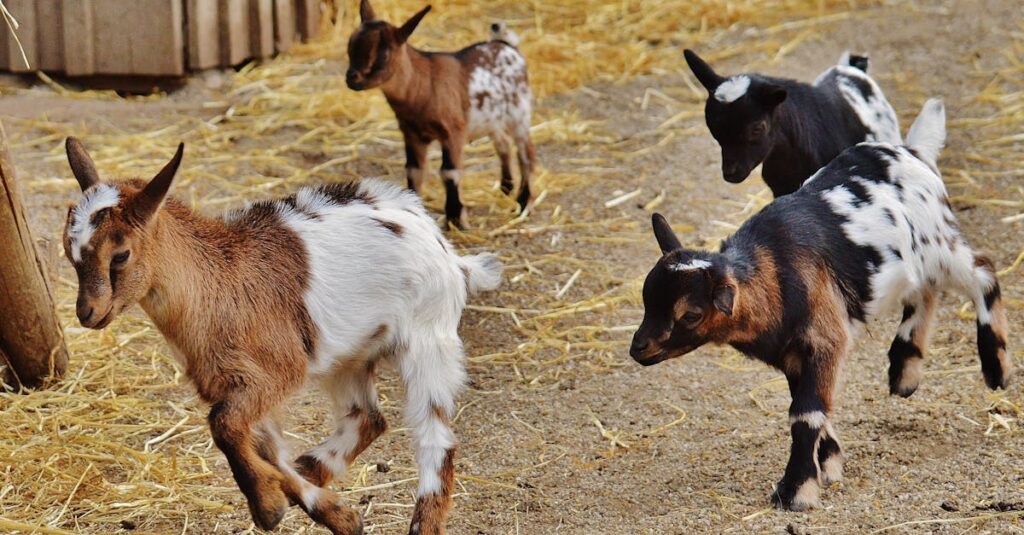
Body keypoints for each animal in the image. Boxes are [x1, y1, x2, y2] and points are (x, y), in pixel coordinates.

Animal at [62, 137, 503, 535]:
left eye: (120, 255)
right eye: (69, 254)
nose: (87, 313)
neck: (218, 281)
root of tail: (449, 252)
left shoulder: (276, 372)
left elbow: (224, 425)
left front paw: (269, 507)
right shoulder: (238, 384)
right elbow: (264, 448)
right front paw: (331, 513)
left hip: (428, 339)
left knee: (435, 439)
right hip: (348, 355)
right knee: (367, 418)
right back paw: (313, 469)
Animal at [346, 0, 536, 229]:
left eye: (384, 54)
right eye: (350, 45)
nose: (352, 78)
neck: (424, 86)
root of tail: (507, 45)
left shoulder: (453, 132)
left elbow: (449, 173)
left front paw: (456, 219)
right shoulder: (411, 133)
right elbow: (414, 170)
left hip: (520, 113)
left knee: (525, 154)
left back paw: (523, 203)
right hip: (493, 119)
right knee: (503, 144)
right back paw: (506, 188)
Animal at [630, 100, 1010, 511]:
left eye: (691, 314)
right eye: (646, 297)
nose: (638, 348)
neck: (775, 271)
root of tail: (912, 151)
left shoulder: (825, 339)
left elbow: (806, 414)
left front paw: (796, 491)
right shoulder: (793, 355)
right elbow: (810, 406)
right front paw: (828, 464)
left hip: (940, 245)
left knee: (982, 272)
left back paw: (996, 369)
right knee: (926, 292)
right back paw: (904, 372)